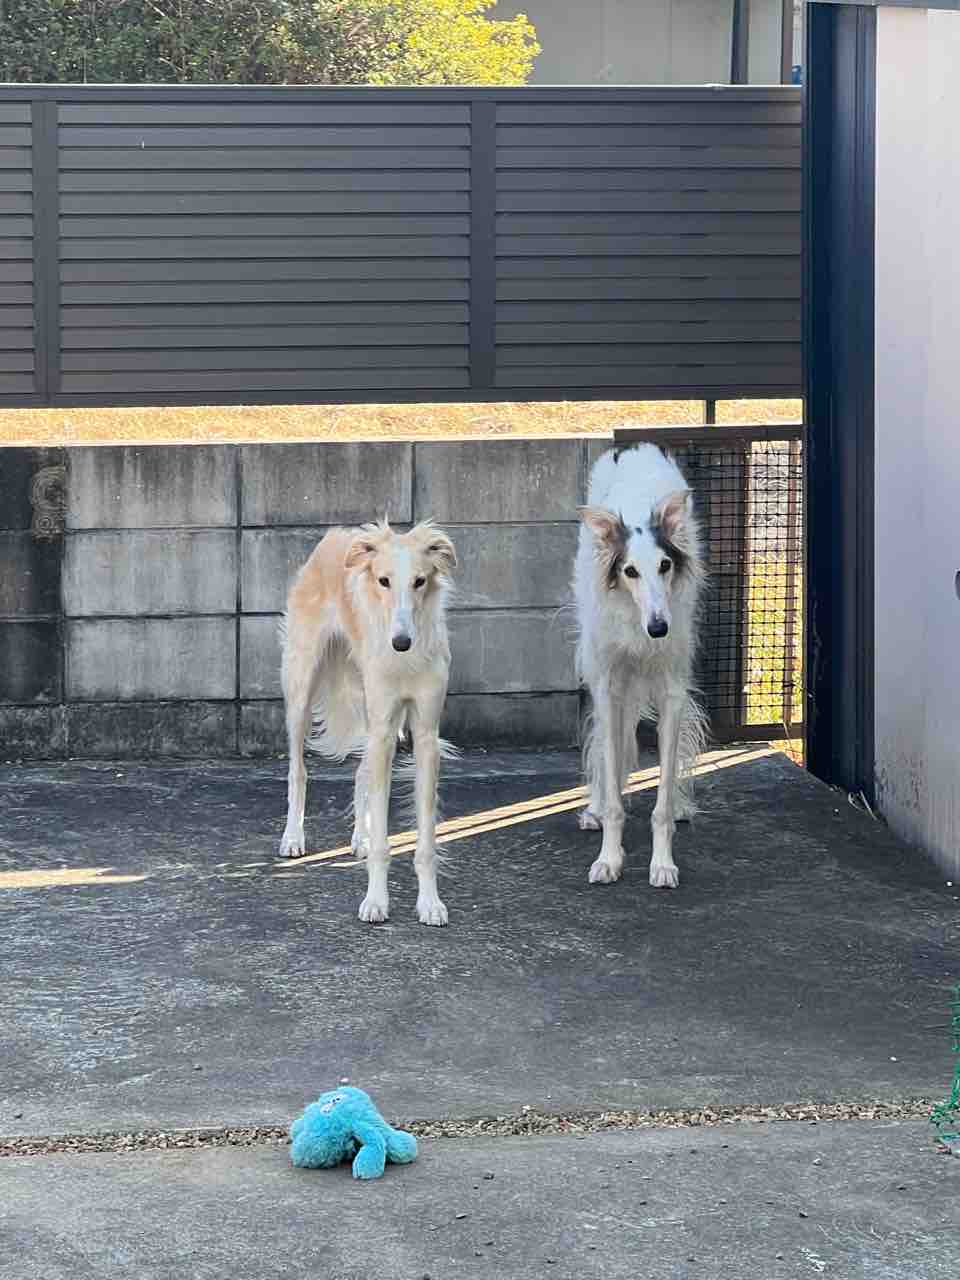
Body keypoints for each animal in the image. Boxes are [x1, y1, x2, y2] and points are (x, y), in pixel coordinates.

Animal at [278, 519, 457, 927]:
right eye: (384, 581)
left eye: (420, 581)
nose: (401, 642)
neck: (405, 662)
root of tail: (333, 536)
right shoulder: (384, 728)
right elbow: (382, 845)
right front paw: (376, 901)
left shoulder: (424, 734)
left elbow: (425, 840)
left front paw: (430, 903)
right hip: (302, 686)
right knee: (298, 771)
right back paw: (293, 837)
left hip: (367, 710)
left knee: (361, 774)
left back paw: (359, 836)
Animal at [573, 443, 706, 889]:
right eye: (629, 571)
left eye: (665, 565)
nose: (659, 628)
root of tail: (632, 447)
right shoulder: (609, 685)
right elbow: (612, 768)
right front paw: (609, 859)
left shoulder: (671, 689)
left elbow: (661, 798)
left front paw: (662, 863)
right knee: (607, 748)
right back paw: (596, 807)